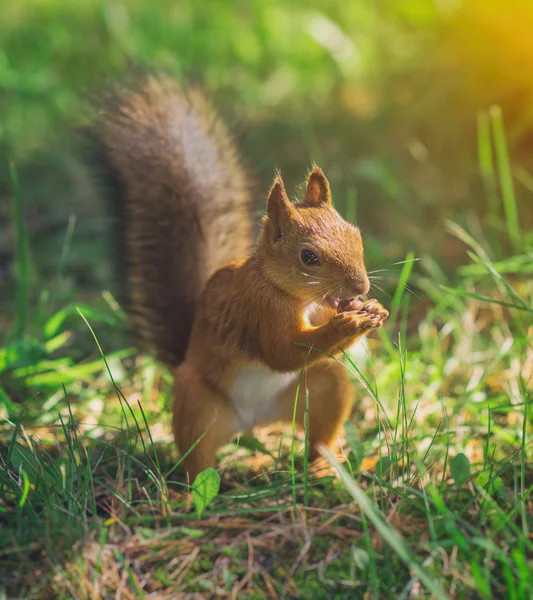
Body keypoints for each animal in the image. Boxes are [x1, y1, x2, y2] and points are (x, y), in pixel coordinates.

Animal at [95, 75, 386, 480]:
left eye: (356, 235)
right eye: (308, 257)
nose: (361, 287)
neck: (298, 297)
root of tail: (253, 422)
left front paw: (372, 311)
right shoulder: (259, 307)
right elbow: (281, 352)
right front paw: (347, 324)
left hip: (323, 388)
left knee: (319, 432)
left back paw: (324, 467)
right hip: (197, 404)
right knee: (197, 459)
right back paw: (186, 490)